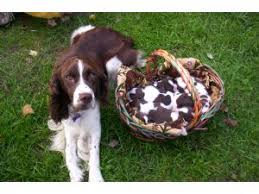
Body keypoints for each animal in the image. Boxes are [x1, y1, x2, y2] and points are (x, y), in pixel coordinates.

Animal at [47, 24, 145, 182]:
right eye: (69, 77)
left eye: (92, 75)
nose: (86, 97)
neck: (80, 113)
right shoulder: (68, 128)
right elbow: (69, 152)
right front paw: (75, 174)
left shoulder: (95, 128)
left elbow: (93, 154)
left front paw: (95, 178)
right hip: (78, 32)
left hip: (113, 63)